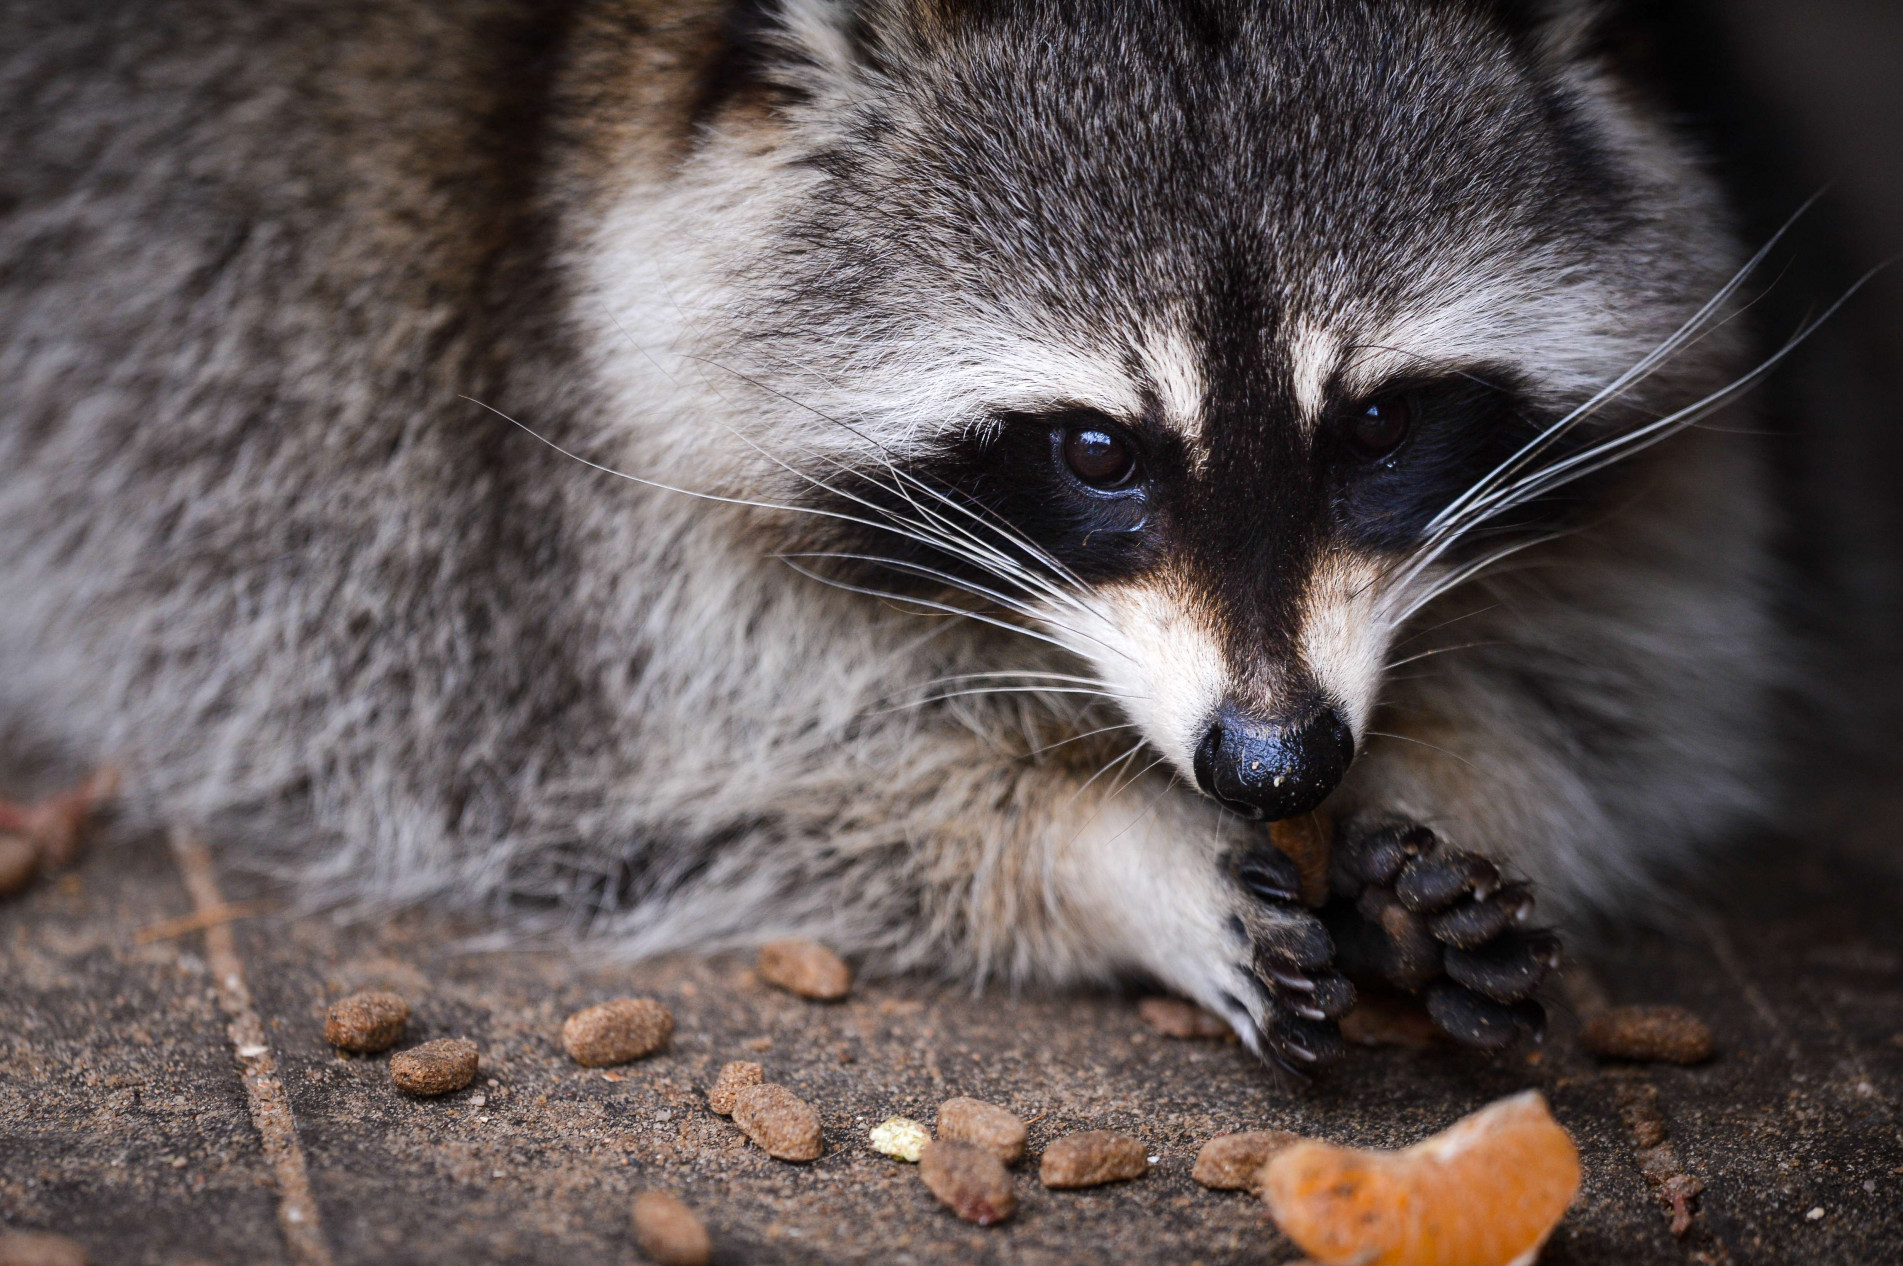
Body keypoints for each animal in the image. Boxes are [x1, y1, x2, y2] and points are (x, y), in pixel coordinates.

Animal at [0, 0, 1781, 1066]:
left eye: (1379, 427)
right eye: (1093, 451)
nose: (1276, 764)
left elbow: (1633, 678)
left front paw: (1457, 776)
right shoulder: (478, 527)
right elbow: (697, 794)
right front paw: (1106, 850)